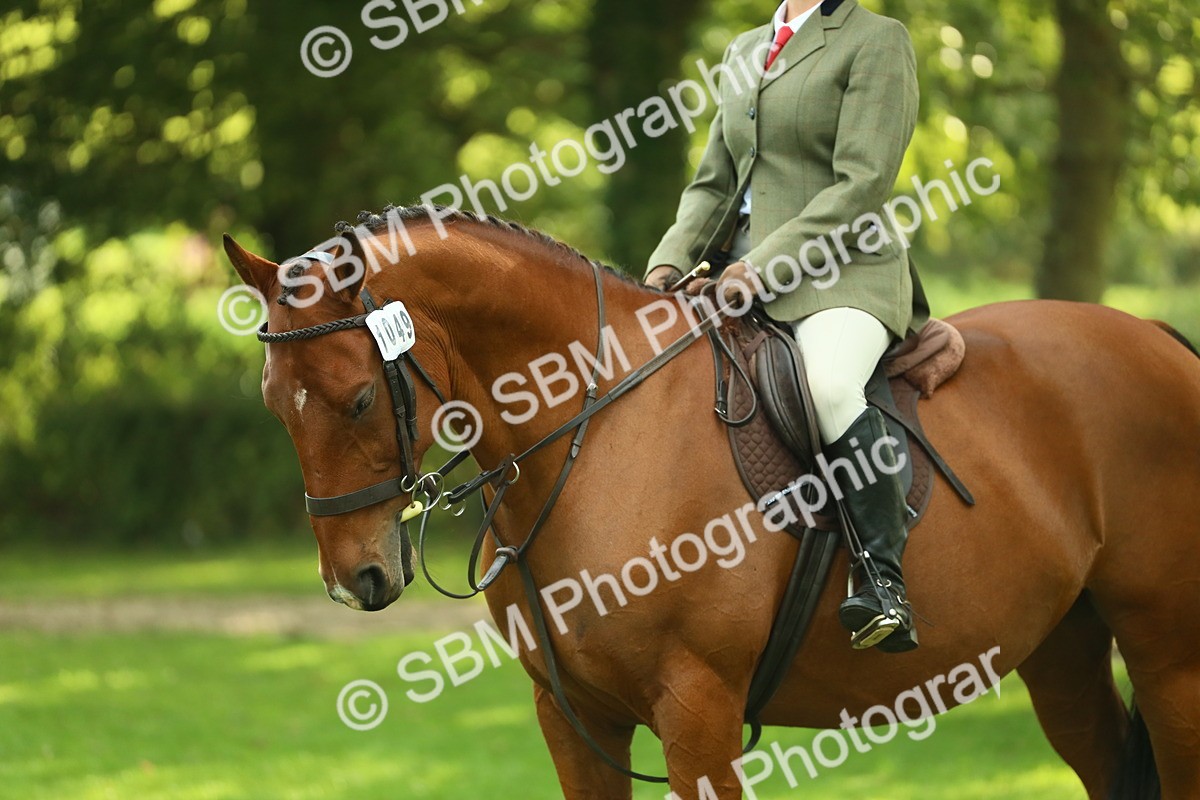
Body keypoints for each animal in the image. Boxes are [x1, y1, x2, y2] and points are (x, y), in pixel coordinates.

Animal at [223, 205, 1199, 799]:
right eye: (273, 404)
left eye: (357, 400)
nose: (355, 580)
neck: (598, 434)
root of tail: (1155, 334)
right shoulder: (574, 719)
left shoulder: (698, 711)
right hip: (1064, 650)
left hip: (1167, 656)